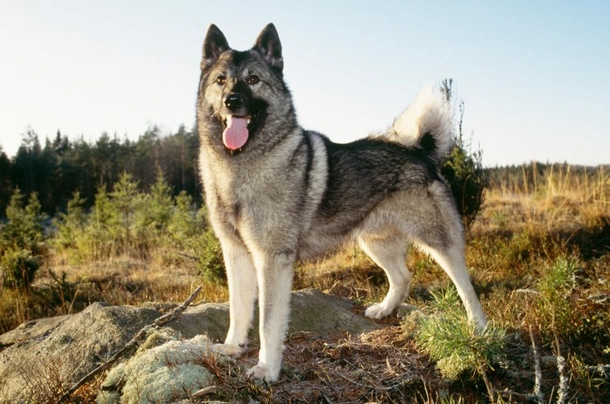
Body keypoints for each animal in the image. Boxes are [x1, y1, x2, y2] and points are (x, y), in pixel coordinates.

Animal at [195, 22, 484, 382]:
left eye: (253, 80)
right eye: (221, 80)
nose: (231, 101)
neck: (238, 166)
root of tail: (417, 150)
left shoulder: (272, 259)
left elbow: (268, 322)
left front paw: (267, 368)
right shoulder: (235, 253)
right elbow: (238, 309)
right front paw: (233, 347)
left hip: (438, 240)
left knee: (465, 285)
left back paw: (480, 328)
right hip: (374, 241)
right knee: (402, 276)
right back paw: (384, 309)